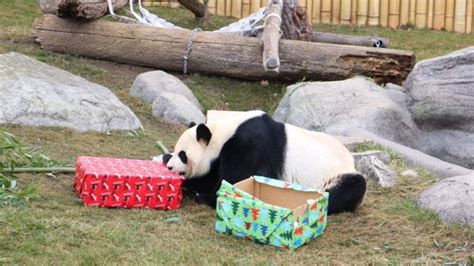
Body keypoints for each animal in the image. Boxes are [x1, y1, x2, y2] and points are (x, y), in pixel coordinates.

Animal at [164, 110, 366, 214]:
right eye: (176, 151)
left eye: (183, 155)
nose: (170, 167)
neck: (221, 134)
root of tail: (350, 161)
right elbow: (211, 176)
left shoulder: (249, 146)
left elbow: (236, 177)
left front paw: (207, 197)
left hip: (337, 173)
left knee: (349, 188)